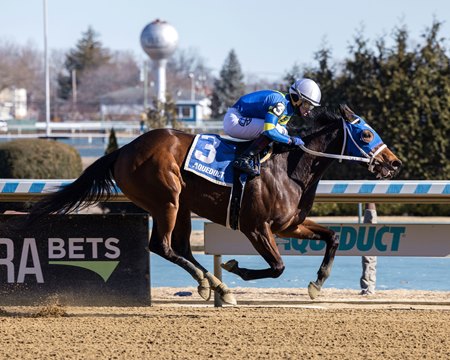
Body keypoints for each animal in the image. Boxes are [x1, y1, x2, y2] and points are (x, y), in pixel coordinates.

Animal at [26, 104, 402, 304]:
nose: (394, 163)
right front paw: (236, 268)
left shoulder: (289, 225)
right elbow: (277, 267)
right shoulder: (257, 227)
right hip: (166, 200)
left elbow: (333, 237)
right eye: (366, 134)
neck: (292, 168)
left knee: (179, 247)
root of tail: (124, 149)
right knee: (161, 246)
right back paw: (213, 284)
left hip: (182, 206)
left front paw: (317, 284)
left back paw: (216, 287)